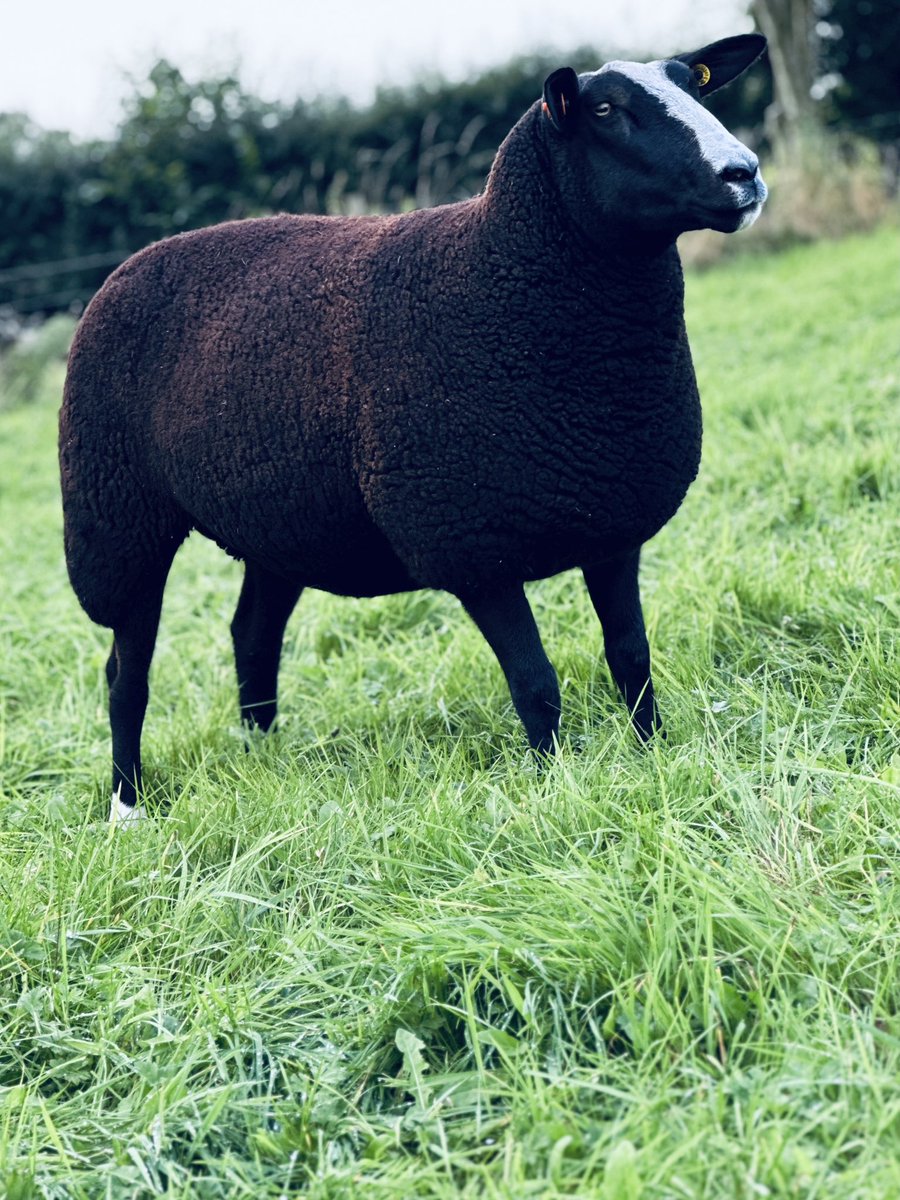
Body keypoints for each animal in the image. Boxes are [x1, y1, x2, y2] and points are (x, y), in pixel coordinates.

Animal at [59, 34, 768, 822]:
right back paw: (128, 805)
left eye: (693, 84)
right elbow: (537, 685)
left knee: (252, 635)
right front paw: (558, 788)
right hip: (117, 519)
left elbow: (632, 658)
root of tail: (132, 262)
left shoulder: (611, 524)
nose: (744, 174)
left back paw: (261, 760)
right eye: (607, 110)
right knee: (126, 671)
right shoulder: (472, 546)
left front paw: (653, 759)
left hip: (278, 522)